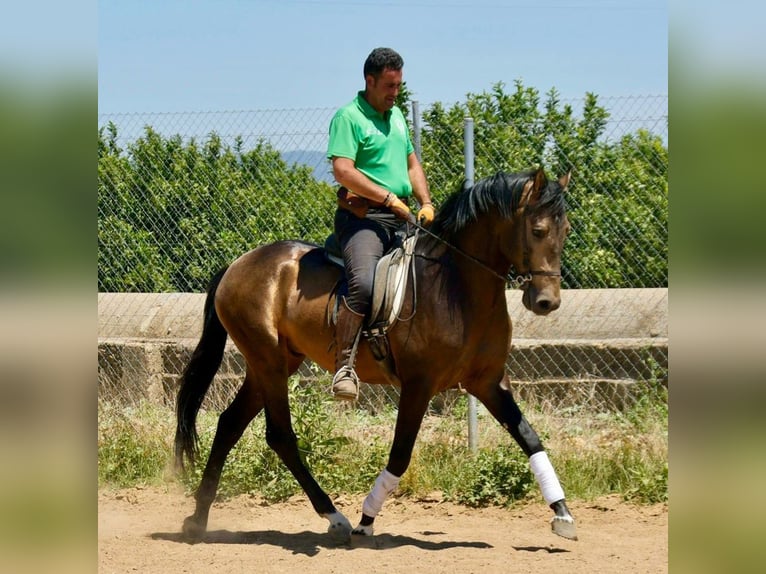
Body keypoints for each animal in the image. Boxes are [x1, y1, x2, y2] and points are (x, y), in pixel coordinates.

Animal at [176, 168, 584, 544]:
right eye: (538, 230)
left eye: (565, 231)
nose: (547, 302)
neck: (457, 288)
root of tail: (237, 265)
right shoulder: (419, 386)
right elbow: (400, 455)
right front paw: (366, 520)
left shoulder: (488, 382)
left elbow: (530, 438)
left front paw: (563, 515)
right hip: (269, 361)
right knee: (280, 435)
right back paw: (335, 518)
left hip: (275, 363)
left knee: (230, 424)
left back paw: (198, 519)